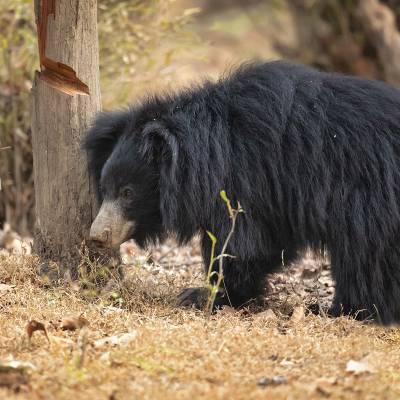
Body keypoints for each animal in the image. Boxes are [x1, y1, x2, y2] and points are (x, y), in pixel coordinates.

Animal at [85, 61, 400, 324]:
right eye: (105, 189)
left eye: (128, 193)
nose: (97, 236)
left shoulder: (249, 176)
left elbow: (244, 244)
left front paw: (203, 296)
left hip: (371, 193)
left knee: (367, 253)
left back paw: (350, 309)